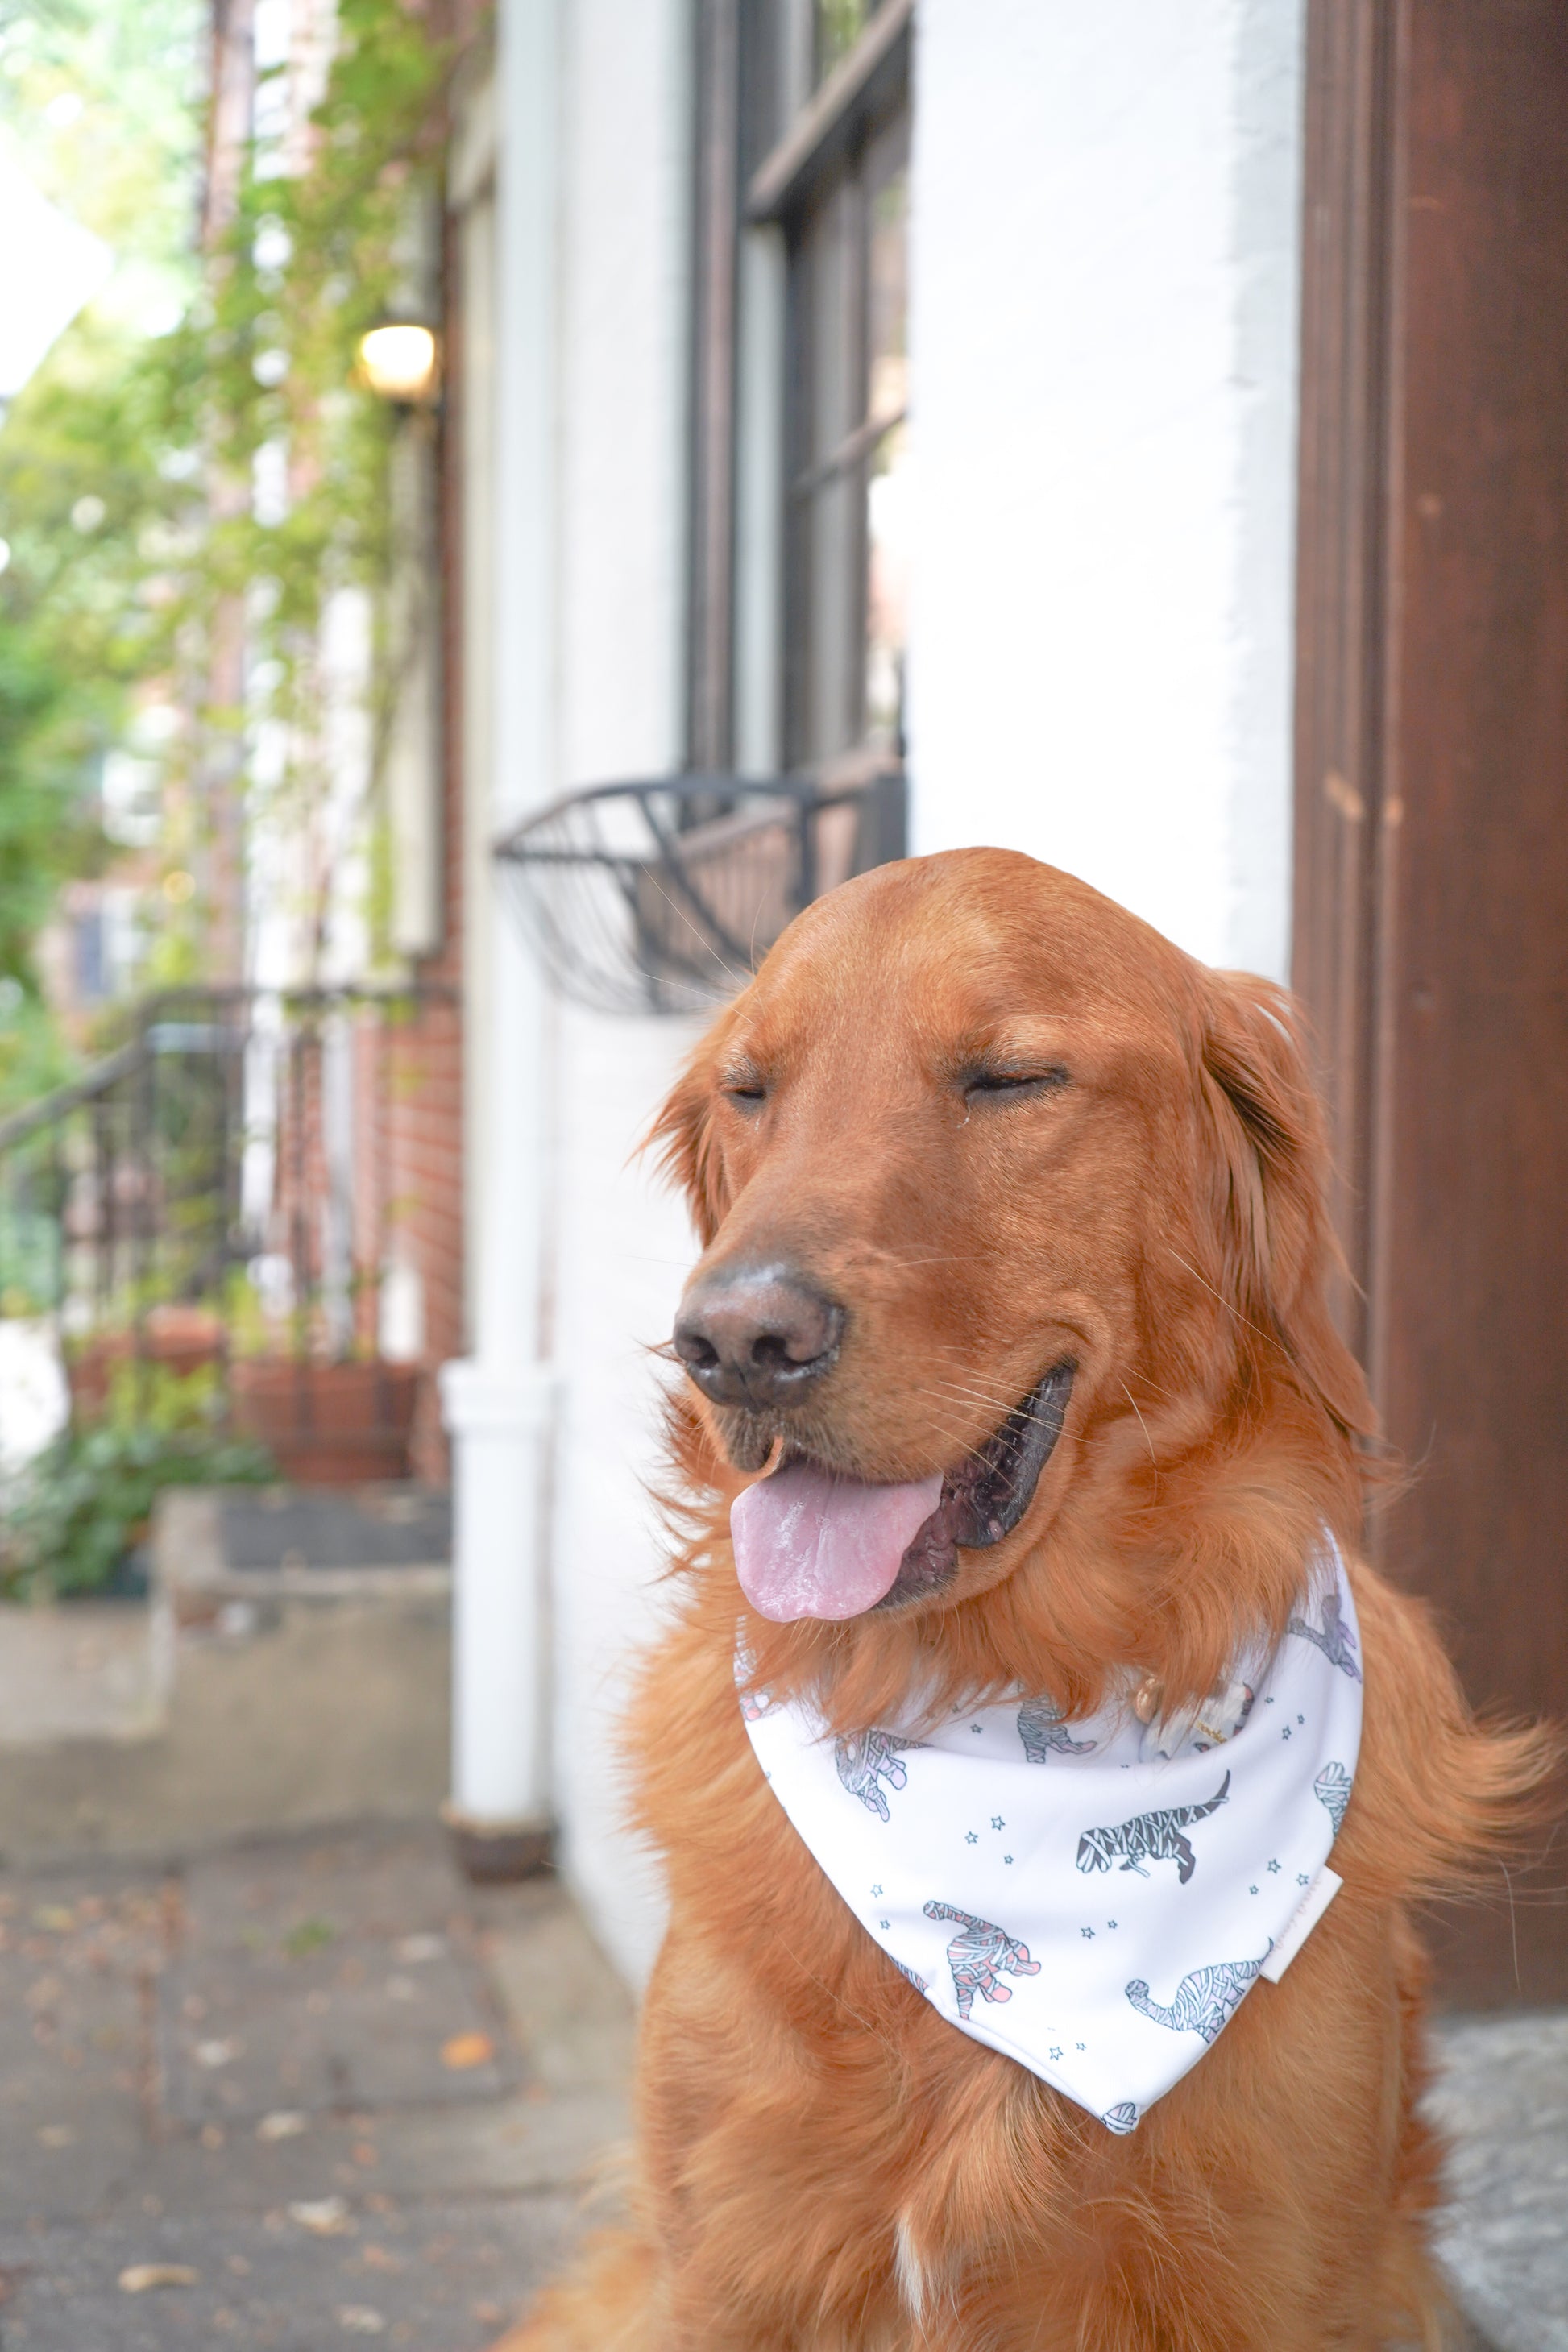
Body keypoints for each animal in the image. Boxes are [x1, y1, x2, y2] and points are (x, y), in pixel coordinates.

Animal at [515, 849, 1550, 2351]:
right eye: (750, 1089)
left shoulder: (1280, 2272)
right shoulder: (726, 2263)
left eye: (1009, 1077)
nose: (731, 1342)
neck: (999, 1706)